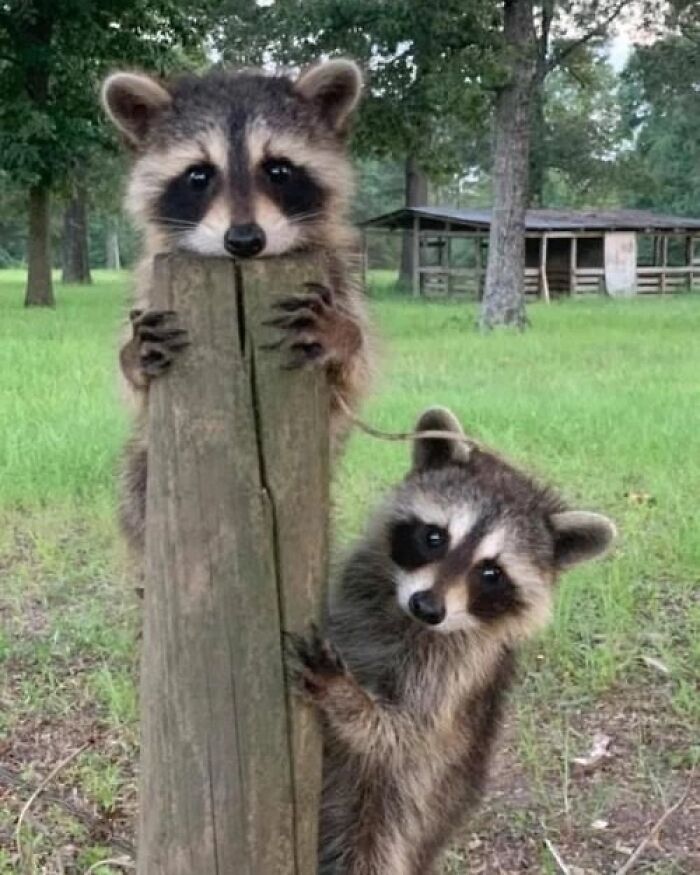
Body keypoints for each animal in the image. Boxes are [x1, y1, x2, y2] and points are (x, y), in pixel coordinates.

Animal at [101, 59, 371, 553]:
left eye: (279, 170)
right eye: (198, 175)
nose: (244, 240)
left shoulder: (336, 274)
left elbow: (351, 378)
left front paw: (344, 336)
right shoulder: (152, 280)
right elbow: (139, 394)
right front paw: (131, 356)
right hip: (143, 470)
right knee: (135, 492)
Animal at [291, 407, 616, 875]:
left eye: (490, 573)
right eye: (434, 537)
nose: (427, 607)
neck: (405, 619)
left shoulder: (457, 671)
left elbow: (401, 735)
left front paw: (347, 698)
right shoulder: (360, 590)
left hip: (391, 819)